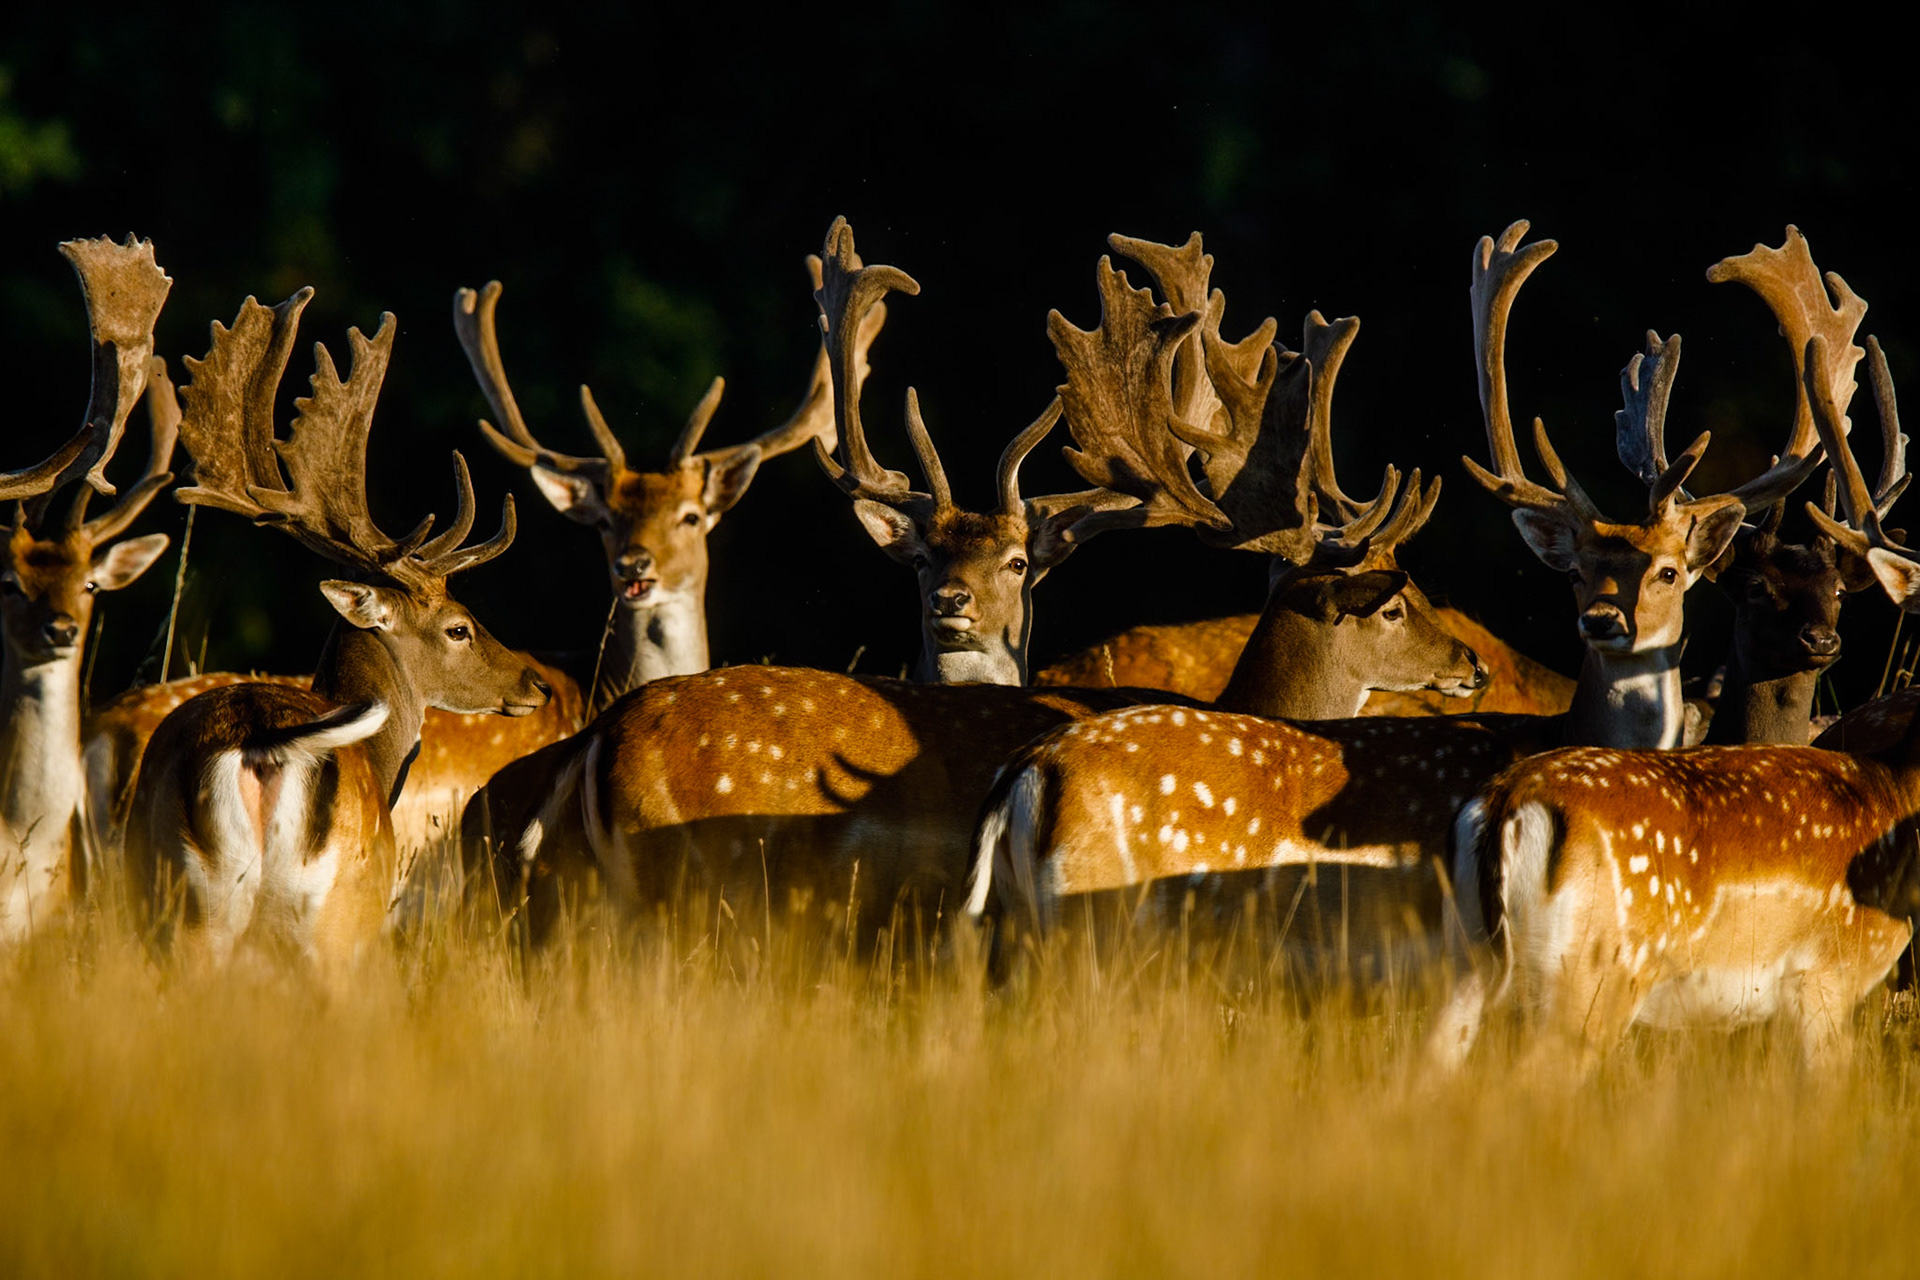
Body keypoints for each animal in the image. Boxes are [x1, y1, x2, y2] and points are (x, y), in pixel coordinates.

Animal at [1425, 324, 1920, 1075]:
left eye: (1667, 572)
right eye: (1754, 588)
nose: (1604, 620)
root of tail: (1504, 806)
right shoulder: (1827, 978)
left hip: (1466, 967)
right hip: (1594, 977)